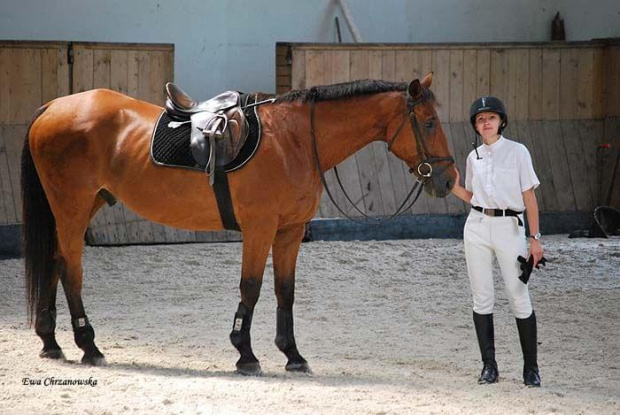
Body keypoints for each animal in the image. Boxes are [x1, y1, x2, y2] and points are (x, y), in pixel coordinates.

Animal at [20, 73, 456, 376]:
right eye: (429, 123)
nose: (448, 180)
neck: (295, 139)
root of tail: (52, 106)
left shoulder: (289, 232)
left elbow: (285, 291)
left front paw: (292, 355)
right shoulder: (260, 229)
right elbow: (252, 287)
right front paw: (245, 353)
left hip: (82, 206)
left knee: (55, 262)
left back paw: (51, 341)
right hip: (73, 207)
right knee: (71, 269)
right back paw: (88, 346)